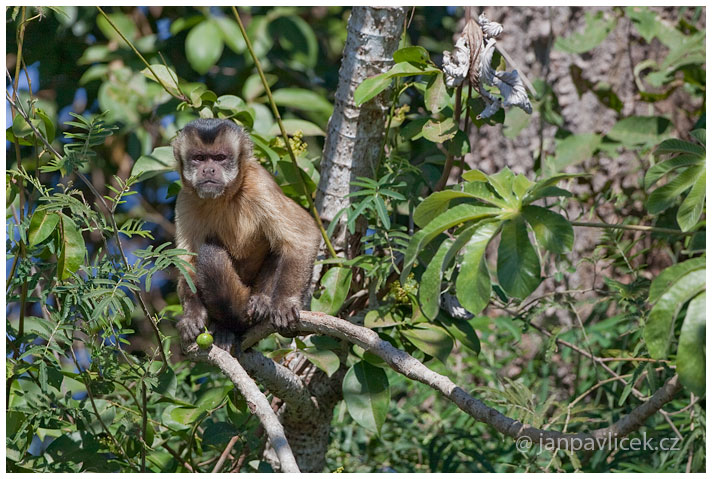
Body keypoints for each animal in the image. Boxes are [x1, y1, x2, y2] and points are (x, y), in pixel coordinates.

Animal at [172, 118, 320, 346]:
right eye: (199, 158)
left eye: (220, 158)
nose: (209, 170)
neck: (222, 198)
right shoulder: (185, 200)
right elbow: (186, 262)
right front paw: (192, 315)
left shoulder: (260, 185)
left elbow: (304, 236)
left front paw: (284, 303)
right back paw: (222, 328)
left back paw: (262, 301)